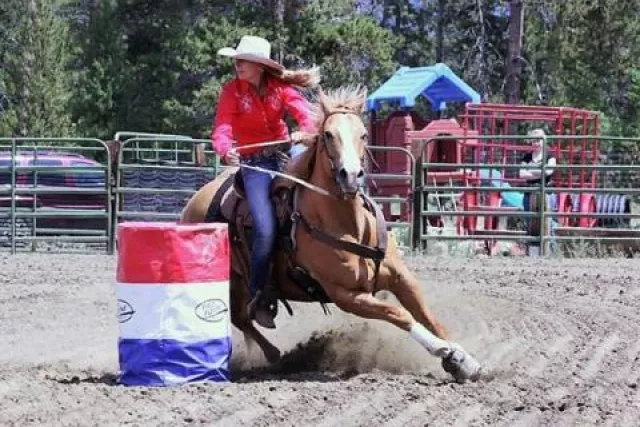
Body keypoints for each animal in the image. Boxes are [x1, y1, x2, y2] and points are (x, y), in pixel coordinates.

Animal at [179, 85, 480, 382]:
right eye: (328, 134)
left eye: (364, 134)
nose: (351, 175)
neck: (349, 226)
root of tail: (195, 201)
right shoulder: (346, 296)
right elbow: (400, 314)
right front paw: (445, 351)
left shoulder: (402, 278)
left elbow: (428, 316)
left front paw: (465, 359)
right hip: (231, 280)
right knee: (239, 317)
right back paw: (275, 354)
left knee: (241, 317)